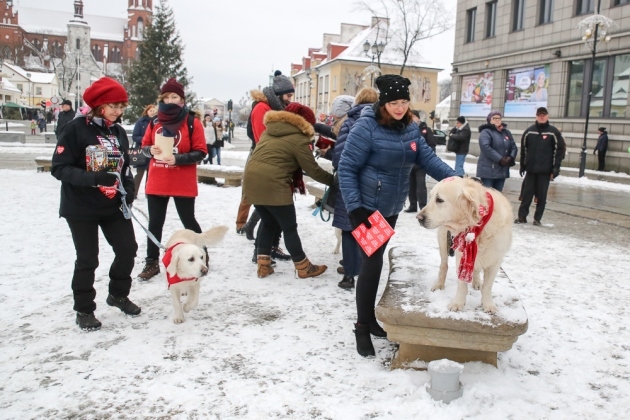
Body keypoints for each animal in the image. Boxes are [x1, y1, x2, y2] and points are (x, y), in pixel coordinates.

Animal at [420, 176, 512, 314]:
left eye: (439, 200)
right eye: (430, 197)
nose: (419, 218)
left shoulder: (495, 259)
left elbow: (487, 286)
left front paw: (488, 304)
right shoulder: (461, 255)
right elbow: (462, 283)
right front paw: (458, 303)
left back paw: (476, 281)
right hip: (443, 239)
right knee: (444, 265)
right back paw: (439, 284)